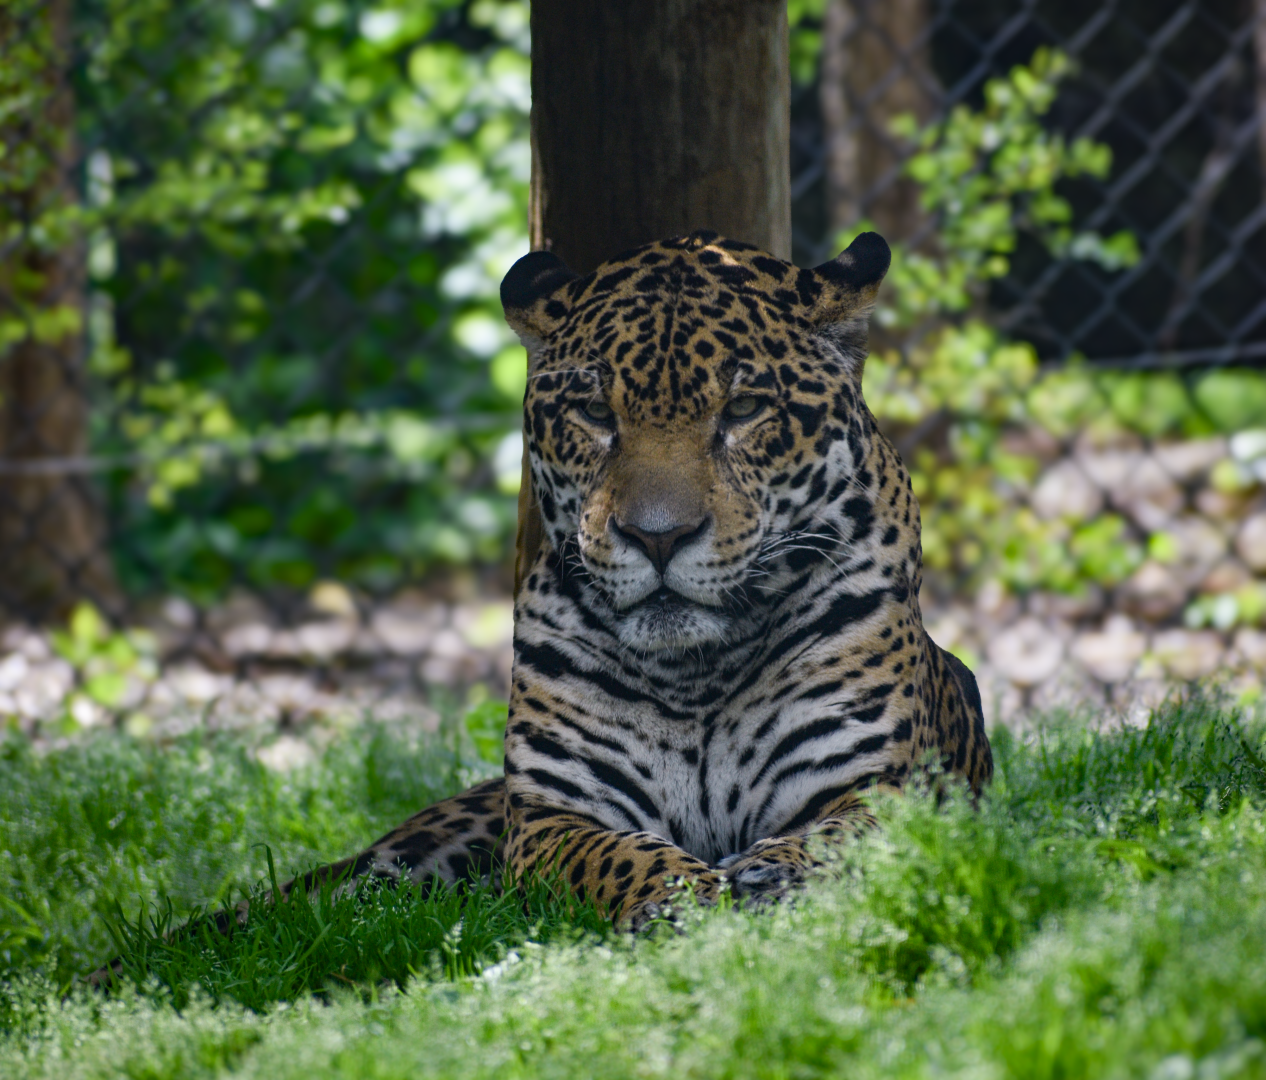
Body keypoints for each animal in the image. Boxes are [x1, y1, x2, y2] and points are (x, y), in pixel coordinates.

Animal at [89, 229, 991, 982]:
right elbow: (622, 856)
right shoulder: (554, 816)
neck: (697, 673)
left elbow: (843, 838)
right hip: (400, 860)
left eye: (743, 410)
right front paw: (685, 899)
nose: (657, 537)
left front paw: (770, 875)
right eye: (594, 413)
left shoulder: (877, 784)